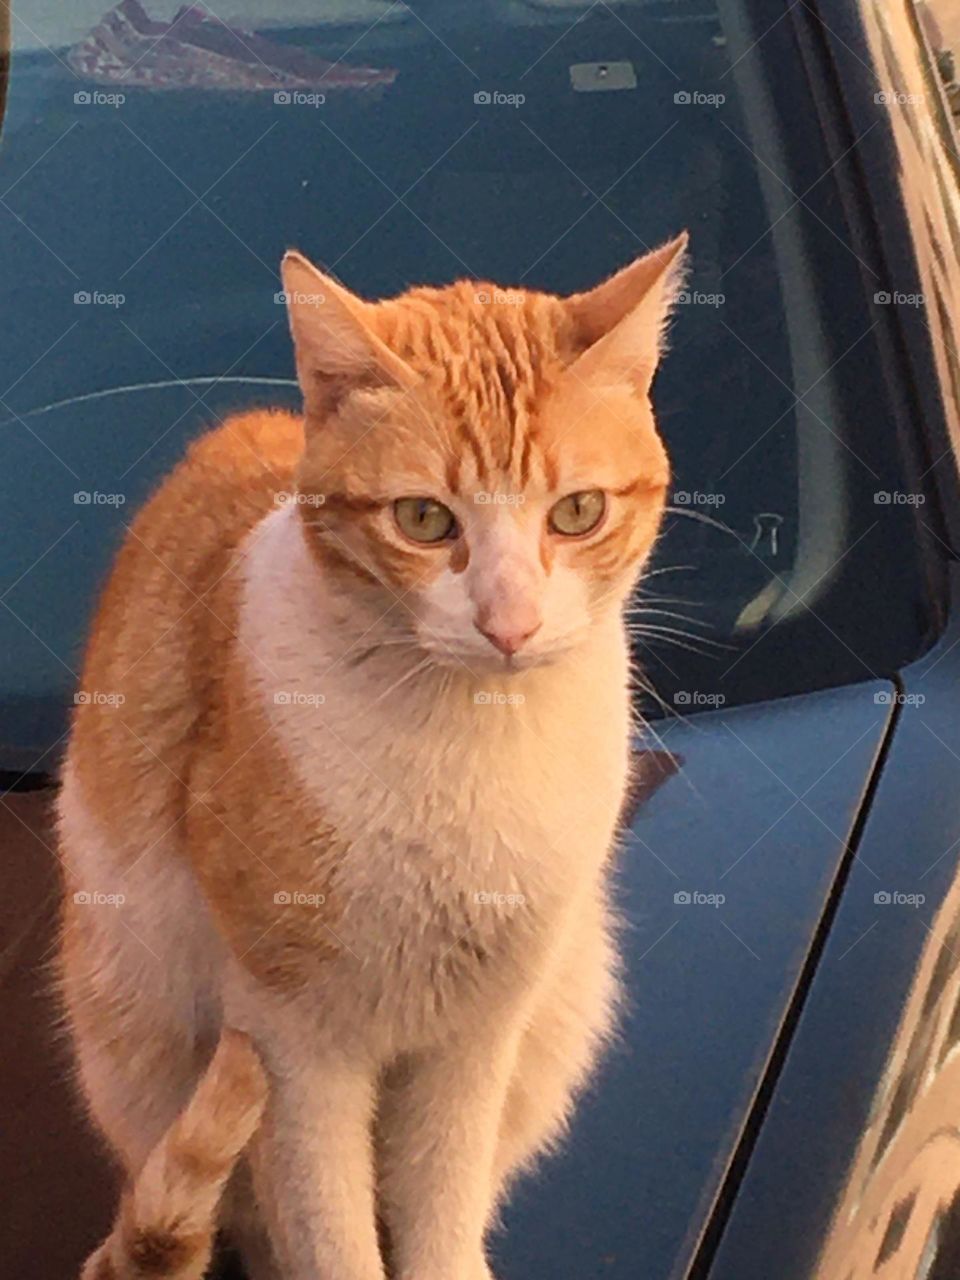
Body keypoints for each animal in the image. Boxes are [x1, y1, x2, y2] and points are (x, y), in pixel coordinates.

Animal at [60, 232, 686, 1280]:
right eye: (425, 520)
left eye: (578, 512)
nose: (509, 625)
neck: (471, 745)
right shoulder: (294, 1047)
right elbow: (331, 1233)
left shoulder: (477, 1039)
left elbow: (442, 1209)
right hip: (136, 1031)